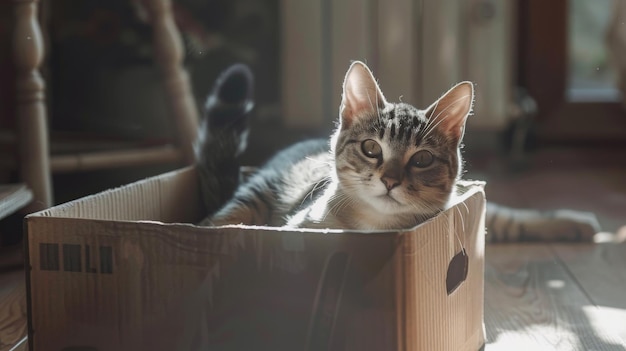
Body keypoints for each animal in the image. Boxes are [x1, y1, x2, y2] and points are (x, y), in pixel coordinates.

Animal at [196, 60, 600, 242]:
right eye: (371, 148)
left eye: (422, 158)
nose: (390, 181)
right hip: (259, 190)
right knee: (220, 216)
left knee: (510, 219)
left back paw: (578, 222)